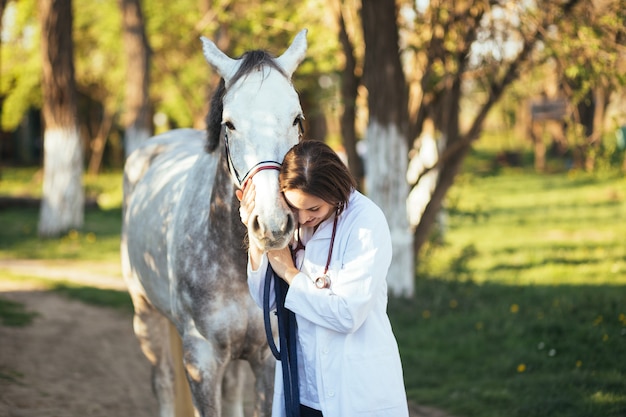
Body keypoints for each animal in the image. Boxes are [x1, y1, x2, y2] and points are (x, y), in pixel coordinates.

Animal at [120, 30, 308, 416]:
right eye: (229, 124)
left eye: (296, 119)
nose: (272, 224)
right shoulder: (202, 361)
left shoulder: (268, 358)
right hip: (146, 314)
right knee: (162, 381)